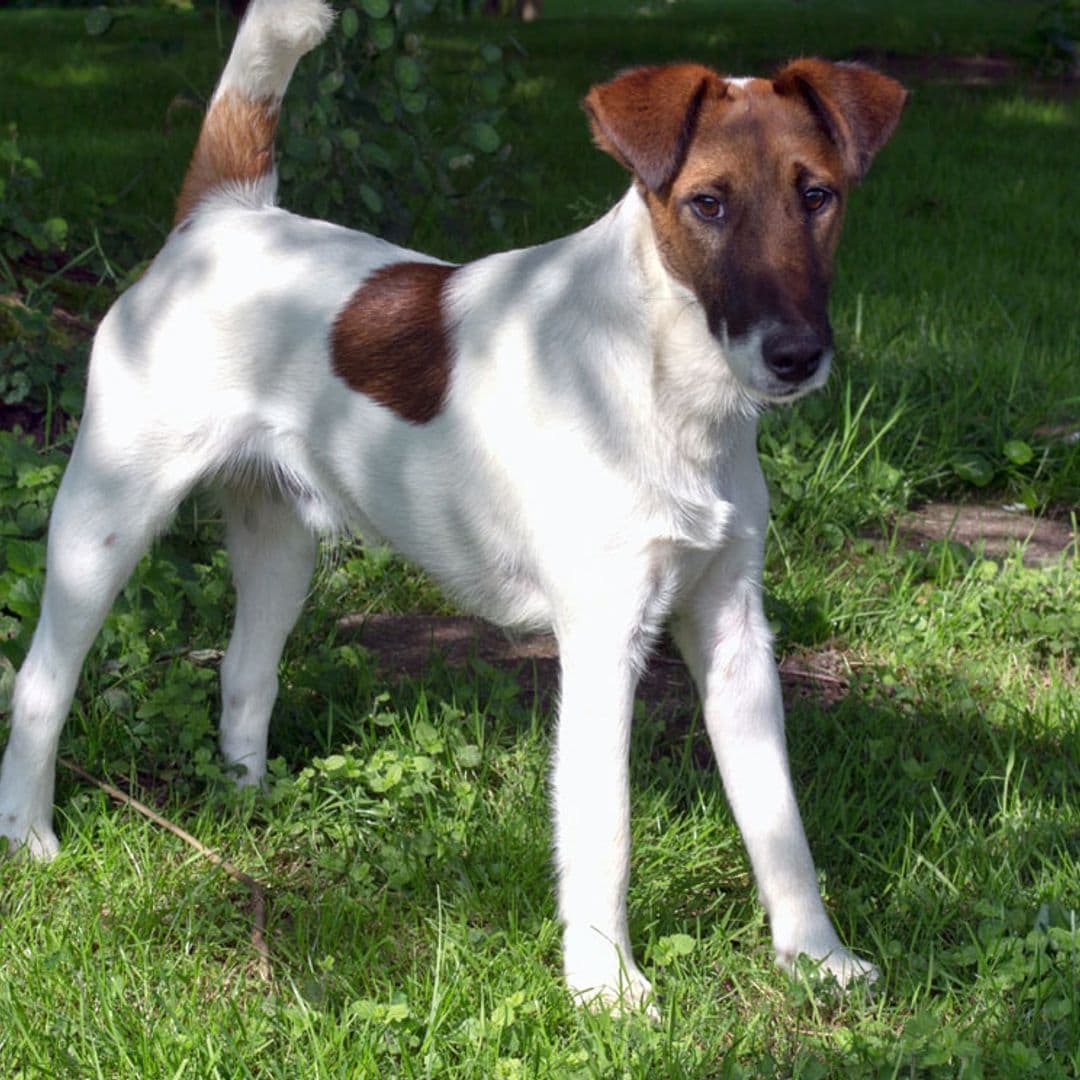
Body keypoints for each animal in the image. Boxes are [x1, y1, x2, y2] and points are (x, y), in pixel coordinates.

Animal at [0, 0, 907, 1010]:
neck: (666, 383)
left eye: (817, 195)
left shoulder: (735, 633)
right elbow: (605, 830)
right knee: (42, 681)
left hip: (280, 545)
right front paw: (607, 986)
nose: (795, 355)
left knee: (244, 674)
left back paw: (252, 813)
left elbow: (780, 824)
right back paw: (29, 835)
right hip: (103, 520)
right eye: (707, 203)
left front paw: (817, 957)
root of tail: (221, 217)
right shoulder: (603, 641)